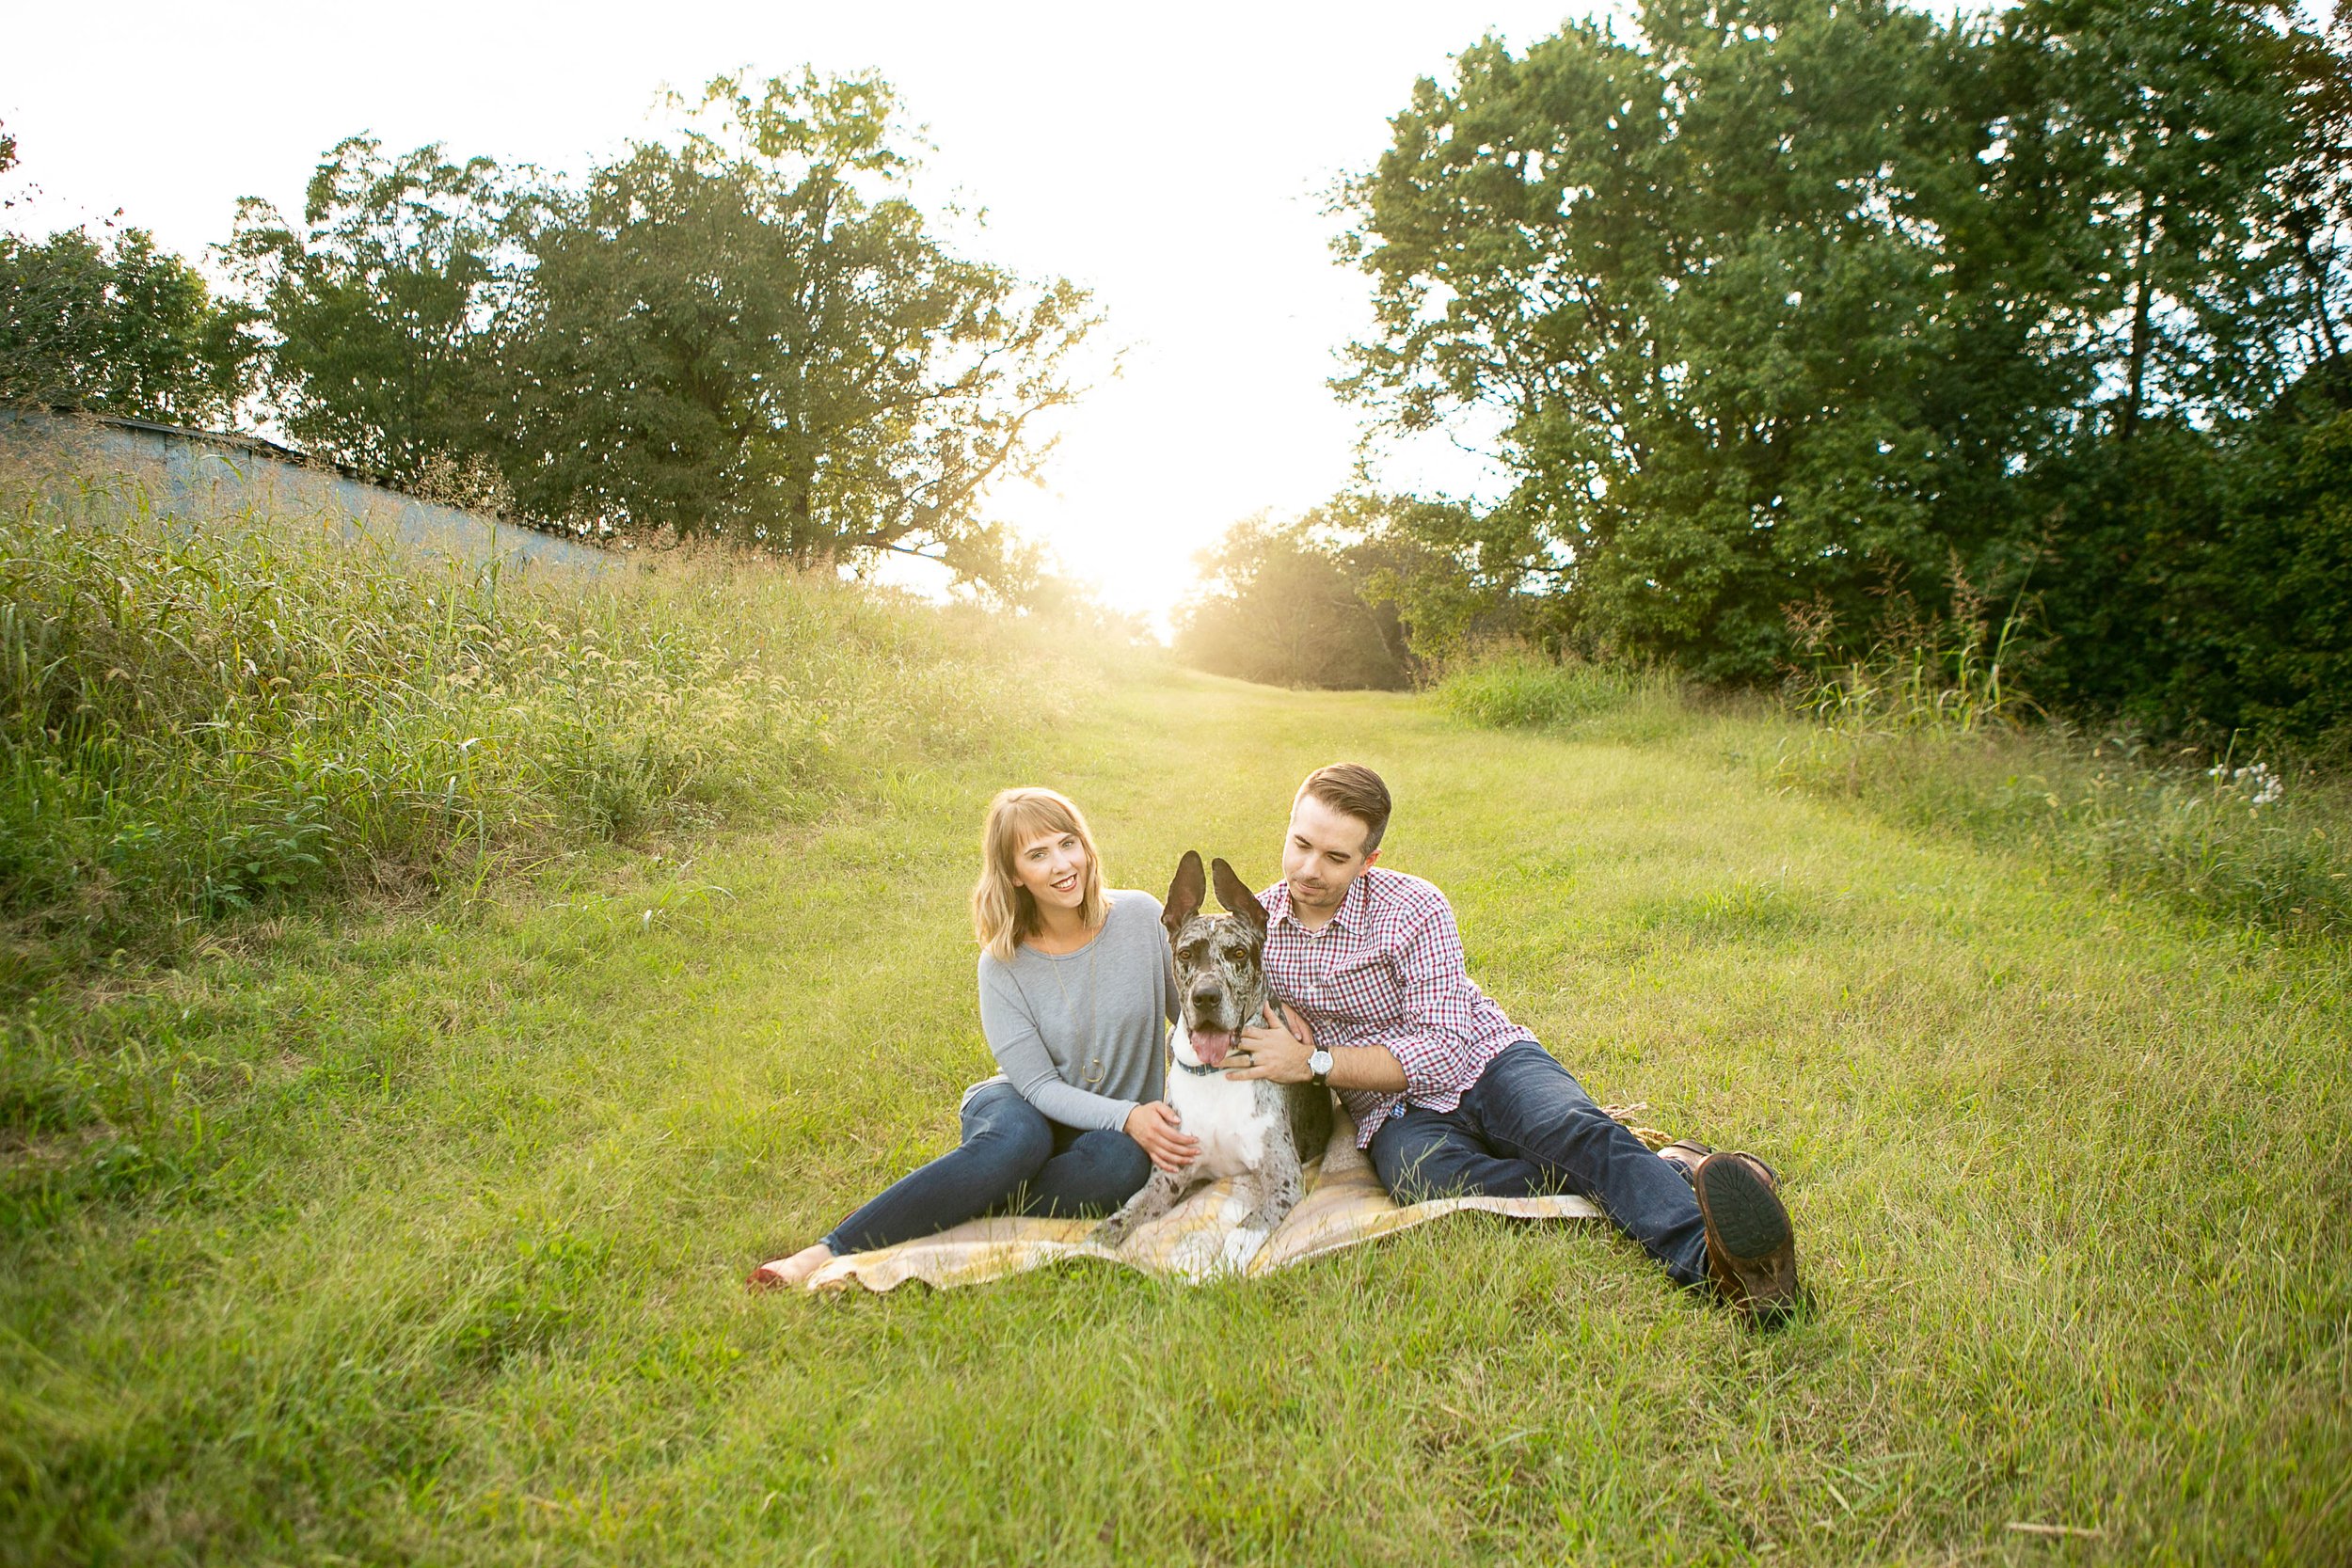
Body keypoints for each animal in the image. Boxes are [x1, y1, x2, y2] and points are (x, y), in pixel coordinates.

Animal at [1091, 850, 1336, 1269]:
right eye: (1185, 954)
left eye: (1238, 953)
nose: (1206, 997)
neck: (1216, 1073)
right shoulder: (1168, 1177)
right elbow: (1123, 1216)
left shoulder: (1285, 1179)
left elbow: (1244, 1230)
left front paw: (1222, 1267)